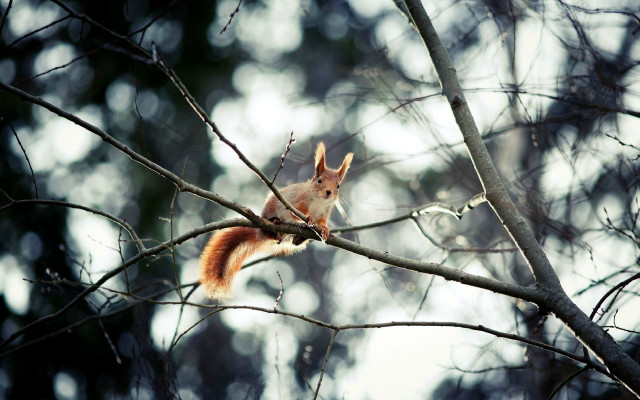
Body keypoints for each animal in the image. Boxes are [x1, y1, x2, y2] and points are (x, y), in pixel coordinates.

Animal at [200, 142, 354, 300]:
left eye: (338, 186)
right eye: (319, 180)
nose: (329, 192)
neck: (319, 201)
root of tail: (261, 233)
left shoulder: (324, 213)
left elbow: (322, 222)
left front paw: (325, 230)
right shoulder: (296, 202)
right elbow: (296, 213)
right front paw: (309, 218)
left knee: (293, 242)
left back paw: (299, 238)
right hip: (270, 210)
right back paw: (274, 221)